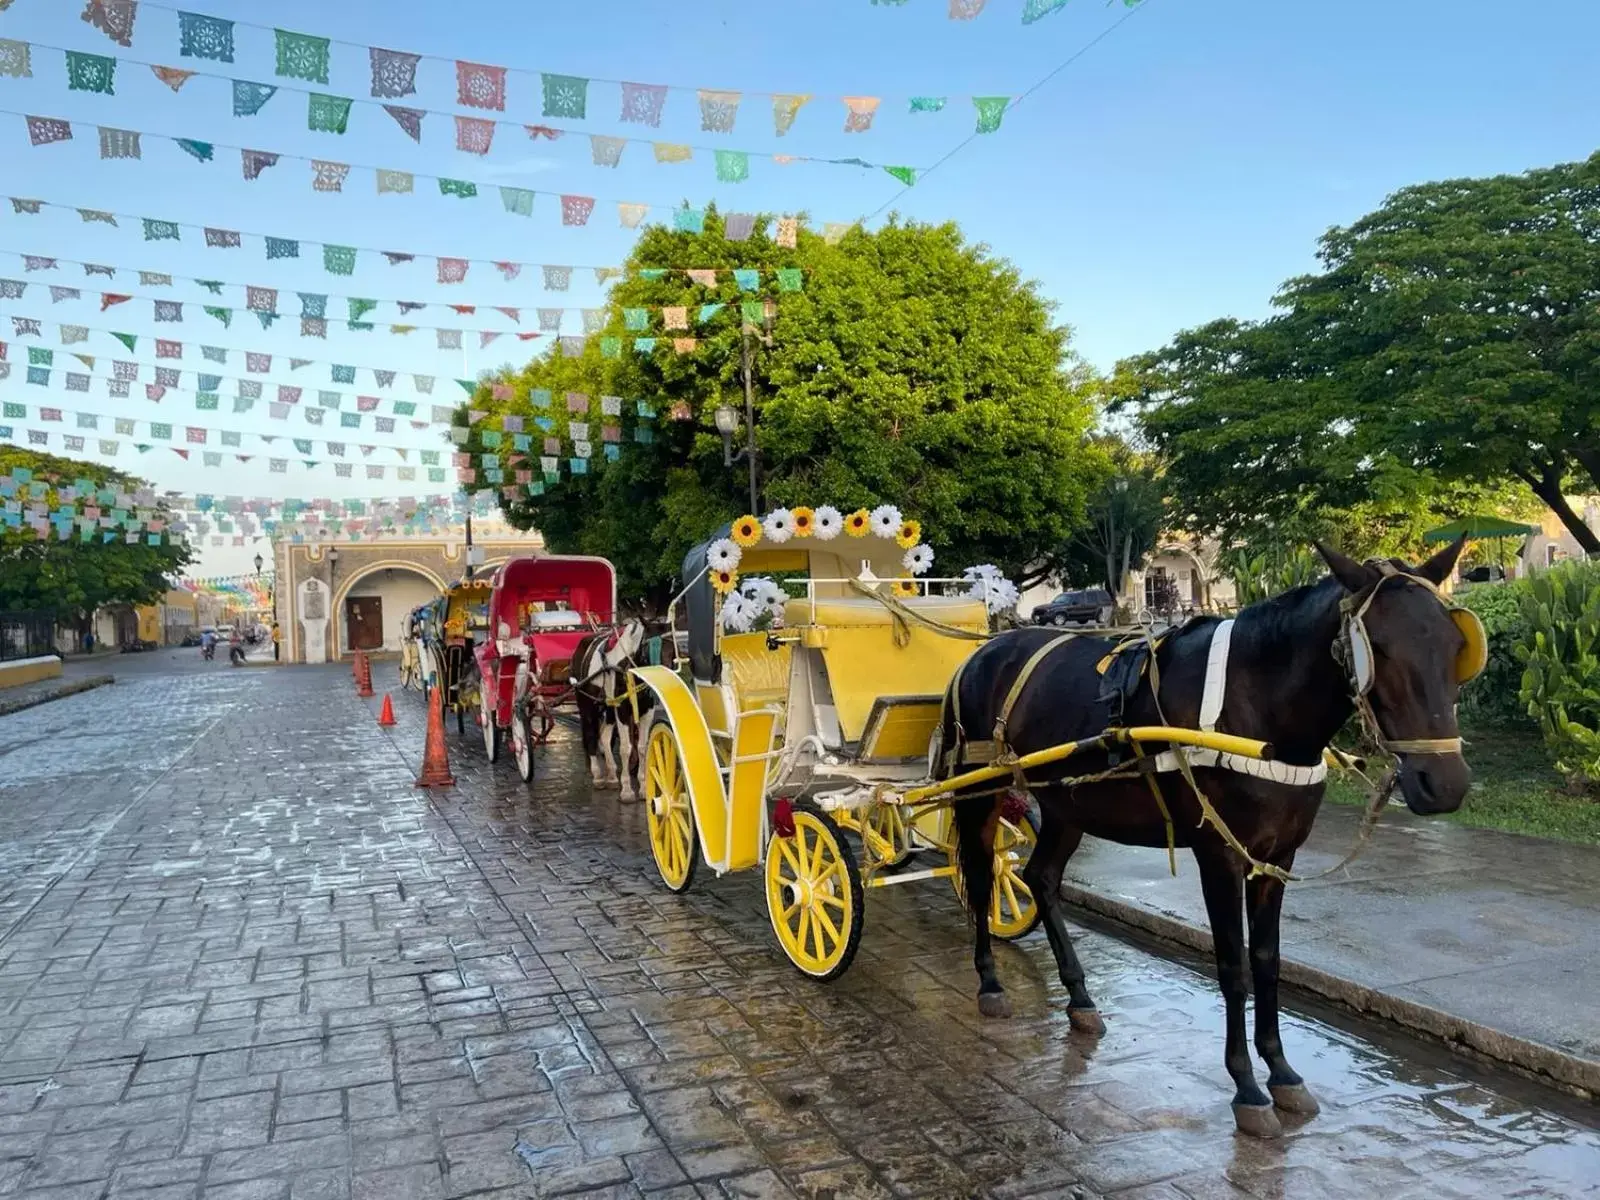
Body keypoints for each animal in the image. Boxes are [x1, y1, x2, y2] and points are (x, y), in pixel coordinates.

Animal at [934, 540, 1472, 1139]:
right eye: (1377, 647)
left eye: (1455, 644)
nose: (1445, 784)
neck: (1257, 707)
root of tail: (983, 652)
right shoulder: (1219, 856)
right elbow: (1233, 967)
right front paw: (1247, 1087)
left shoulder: (1277, 858)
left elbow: (1267, 961)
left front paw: (1281, 1071)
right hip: (978, 790)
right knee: (983, 876)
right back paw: (990, 983)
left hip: (1068, 803)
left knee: (1040, 878)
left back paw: (1079, 996)